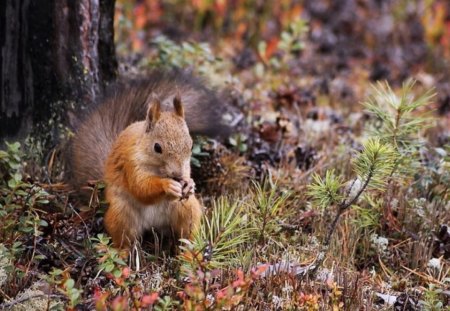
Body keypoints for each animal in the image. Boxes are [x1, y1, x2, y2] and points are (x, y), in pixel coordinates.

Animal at [67, 70, 229, 249]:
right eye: (157, 147)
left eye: (191, 144)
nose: (178, 176)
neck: (159, 169)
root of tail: (154, 225)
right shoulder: (131, 163)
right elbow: (140, 187)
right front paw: (167, 185)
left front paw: (189, 183)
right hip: (121, 213)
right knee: (123, 240)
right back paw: (119, 252)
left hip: (187, 208)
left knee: (187, 234)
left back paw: (190, 252)